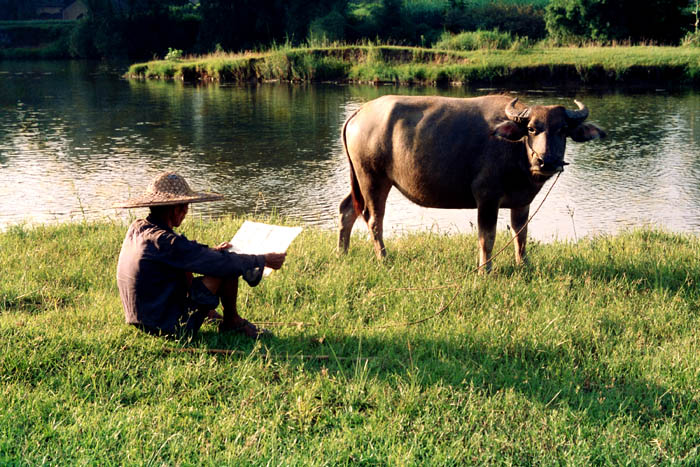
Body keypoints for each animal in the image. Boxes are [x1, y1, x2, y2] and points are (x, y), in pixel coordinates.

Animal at [336, 93, 604, 272]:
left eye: (562, 130)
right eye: (531, 129)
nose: (546, 161)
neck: (515, 151)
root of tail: (358, 114)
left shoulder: (522, 202)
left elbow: (521, 234)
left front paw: (523, 264)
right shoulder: (487, 197)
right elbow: (487, 236)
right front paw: (485, 269)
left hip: (360, 180)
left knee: (347, 209)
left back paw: (342, 252)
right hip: (373, 178)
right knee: (374, 220)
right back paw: (383, 258)